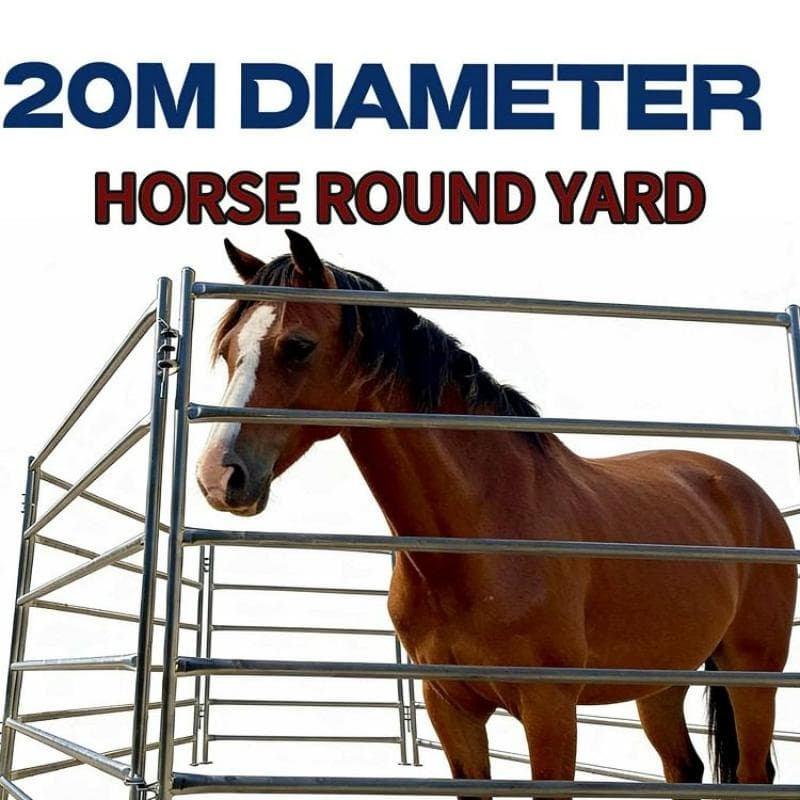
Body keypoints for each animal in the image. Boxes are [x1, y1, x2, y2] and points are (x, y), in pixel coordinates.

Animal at [195, 230, 796, 799]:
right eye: (226, 351)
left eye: (297, 346)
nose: (218, 476)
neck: (484, 535)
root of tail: (748, 494)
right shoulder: (451, 709)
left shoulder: (550, 710)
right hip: (662, 681)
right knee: (683, 768)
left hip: (751, 672)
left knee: (751, 773)